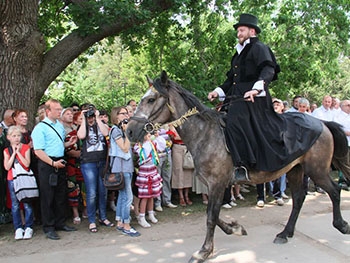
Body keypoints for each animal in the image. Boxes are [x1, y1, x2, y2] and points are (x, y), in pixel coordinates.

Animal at [126, 70, 350, 263]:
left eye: (151, 100)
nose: (129, 131)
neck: (205, 134)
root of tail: (322, 123)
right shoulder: (213, 185)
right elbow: (213, 214)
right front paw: (235, 228)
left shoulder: (217, 183)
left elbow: (211, 217)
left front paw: (204, 251)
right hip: (296, 169)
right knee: (299, 198)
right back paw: (285, 233)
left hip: (317, 170)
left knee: (334, 191)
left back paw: (341, 225)